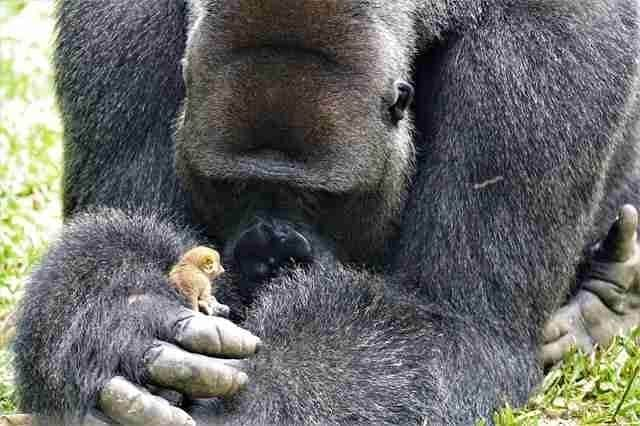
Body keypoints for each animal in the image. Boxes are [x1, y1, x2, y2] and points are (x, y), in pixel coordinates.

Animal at [11, 0, 640, 424]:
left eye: (317, 199)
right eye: (235, 188)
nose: (272, 254)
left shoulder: (546, 47)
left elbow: (457, 325)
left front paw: (259, 397)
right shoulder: (116, 21)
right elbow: (125, 231)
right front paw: (117, 315)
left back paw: (606, 300)